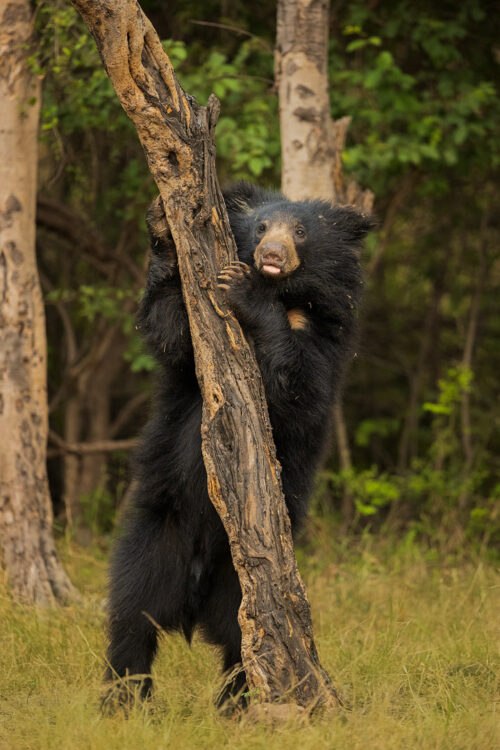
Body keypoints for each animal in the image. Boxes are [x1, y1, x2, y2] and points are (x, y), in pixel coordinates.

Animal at [104, 184, 372, 712]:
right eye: (262, 226)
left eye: (301, 232)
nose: (271, 256)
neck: (287, 293)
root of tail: (191, 601)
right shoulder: (190, 345)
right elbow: (173, 333)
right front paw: (162, 227)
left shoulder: (326, 334)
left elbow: (298, 389)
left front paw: (244, 289)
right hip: (156, 538)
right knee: (132, 617)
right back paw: (124, 699)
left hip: (243, 581)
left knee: (245, 644)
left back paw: (236, 705)